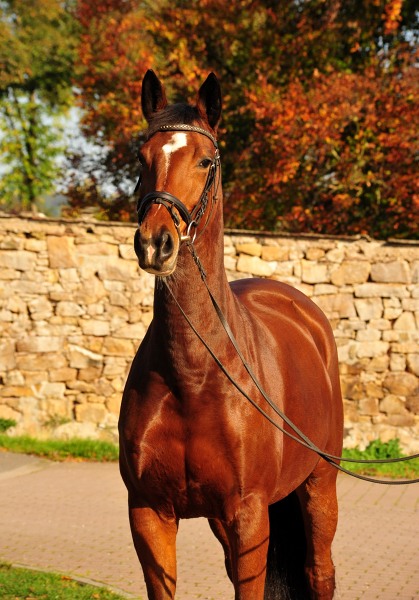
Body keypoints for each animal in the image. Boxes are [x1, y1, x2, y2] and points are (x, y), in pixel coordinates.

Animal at [119, 71, 344, 600]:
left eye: (205, 160)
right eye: (141, 156)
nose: (155, 243)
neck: (194, 376)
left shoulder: (249, 516)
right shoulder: (150, 514)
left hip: (319, 485)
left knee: (318, 574)